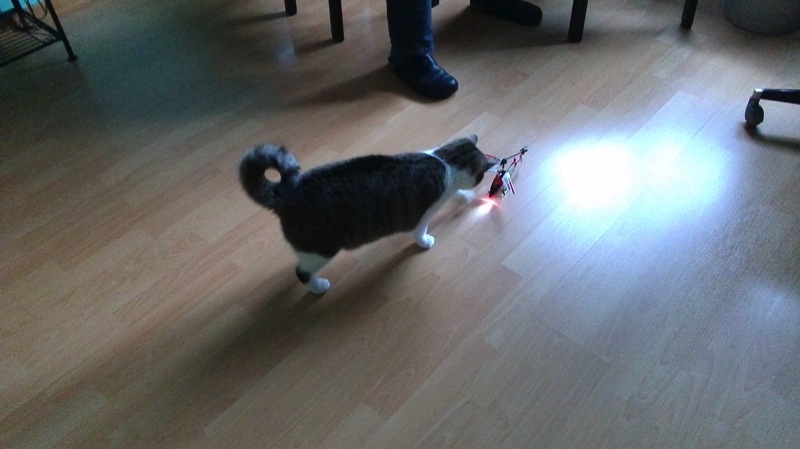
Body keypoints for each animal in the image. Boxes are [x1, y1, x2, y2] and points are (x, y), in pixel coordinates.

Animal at [239, 134, 495, 294]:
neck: (444, 160)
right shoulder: (422, 216)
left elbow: (458, 193)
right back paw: (319, 287)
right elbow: (420, 231)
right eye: (482, 175)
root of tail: (287, 194)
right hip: (320, 249)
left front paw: (465, 196)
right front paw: (425, 241)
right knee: (301, 273)